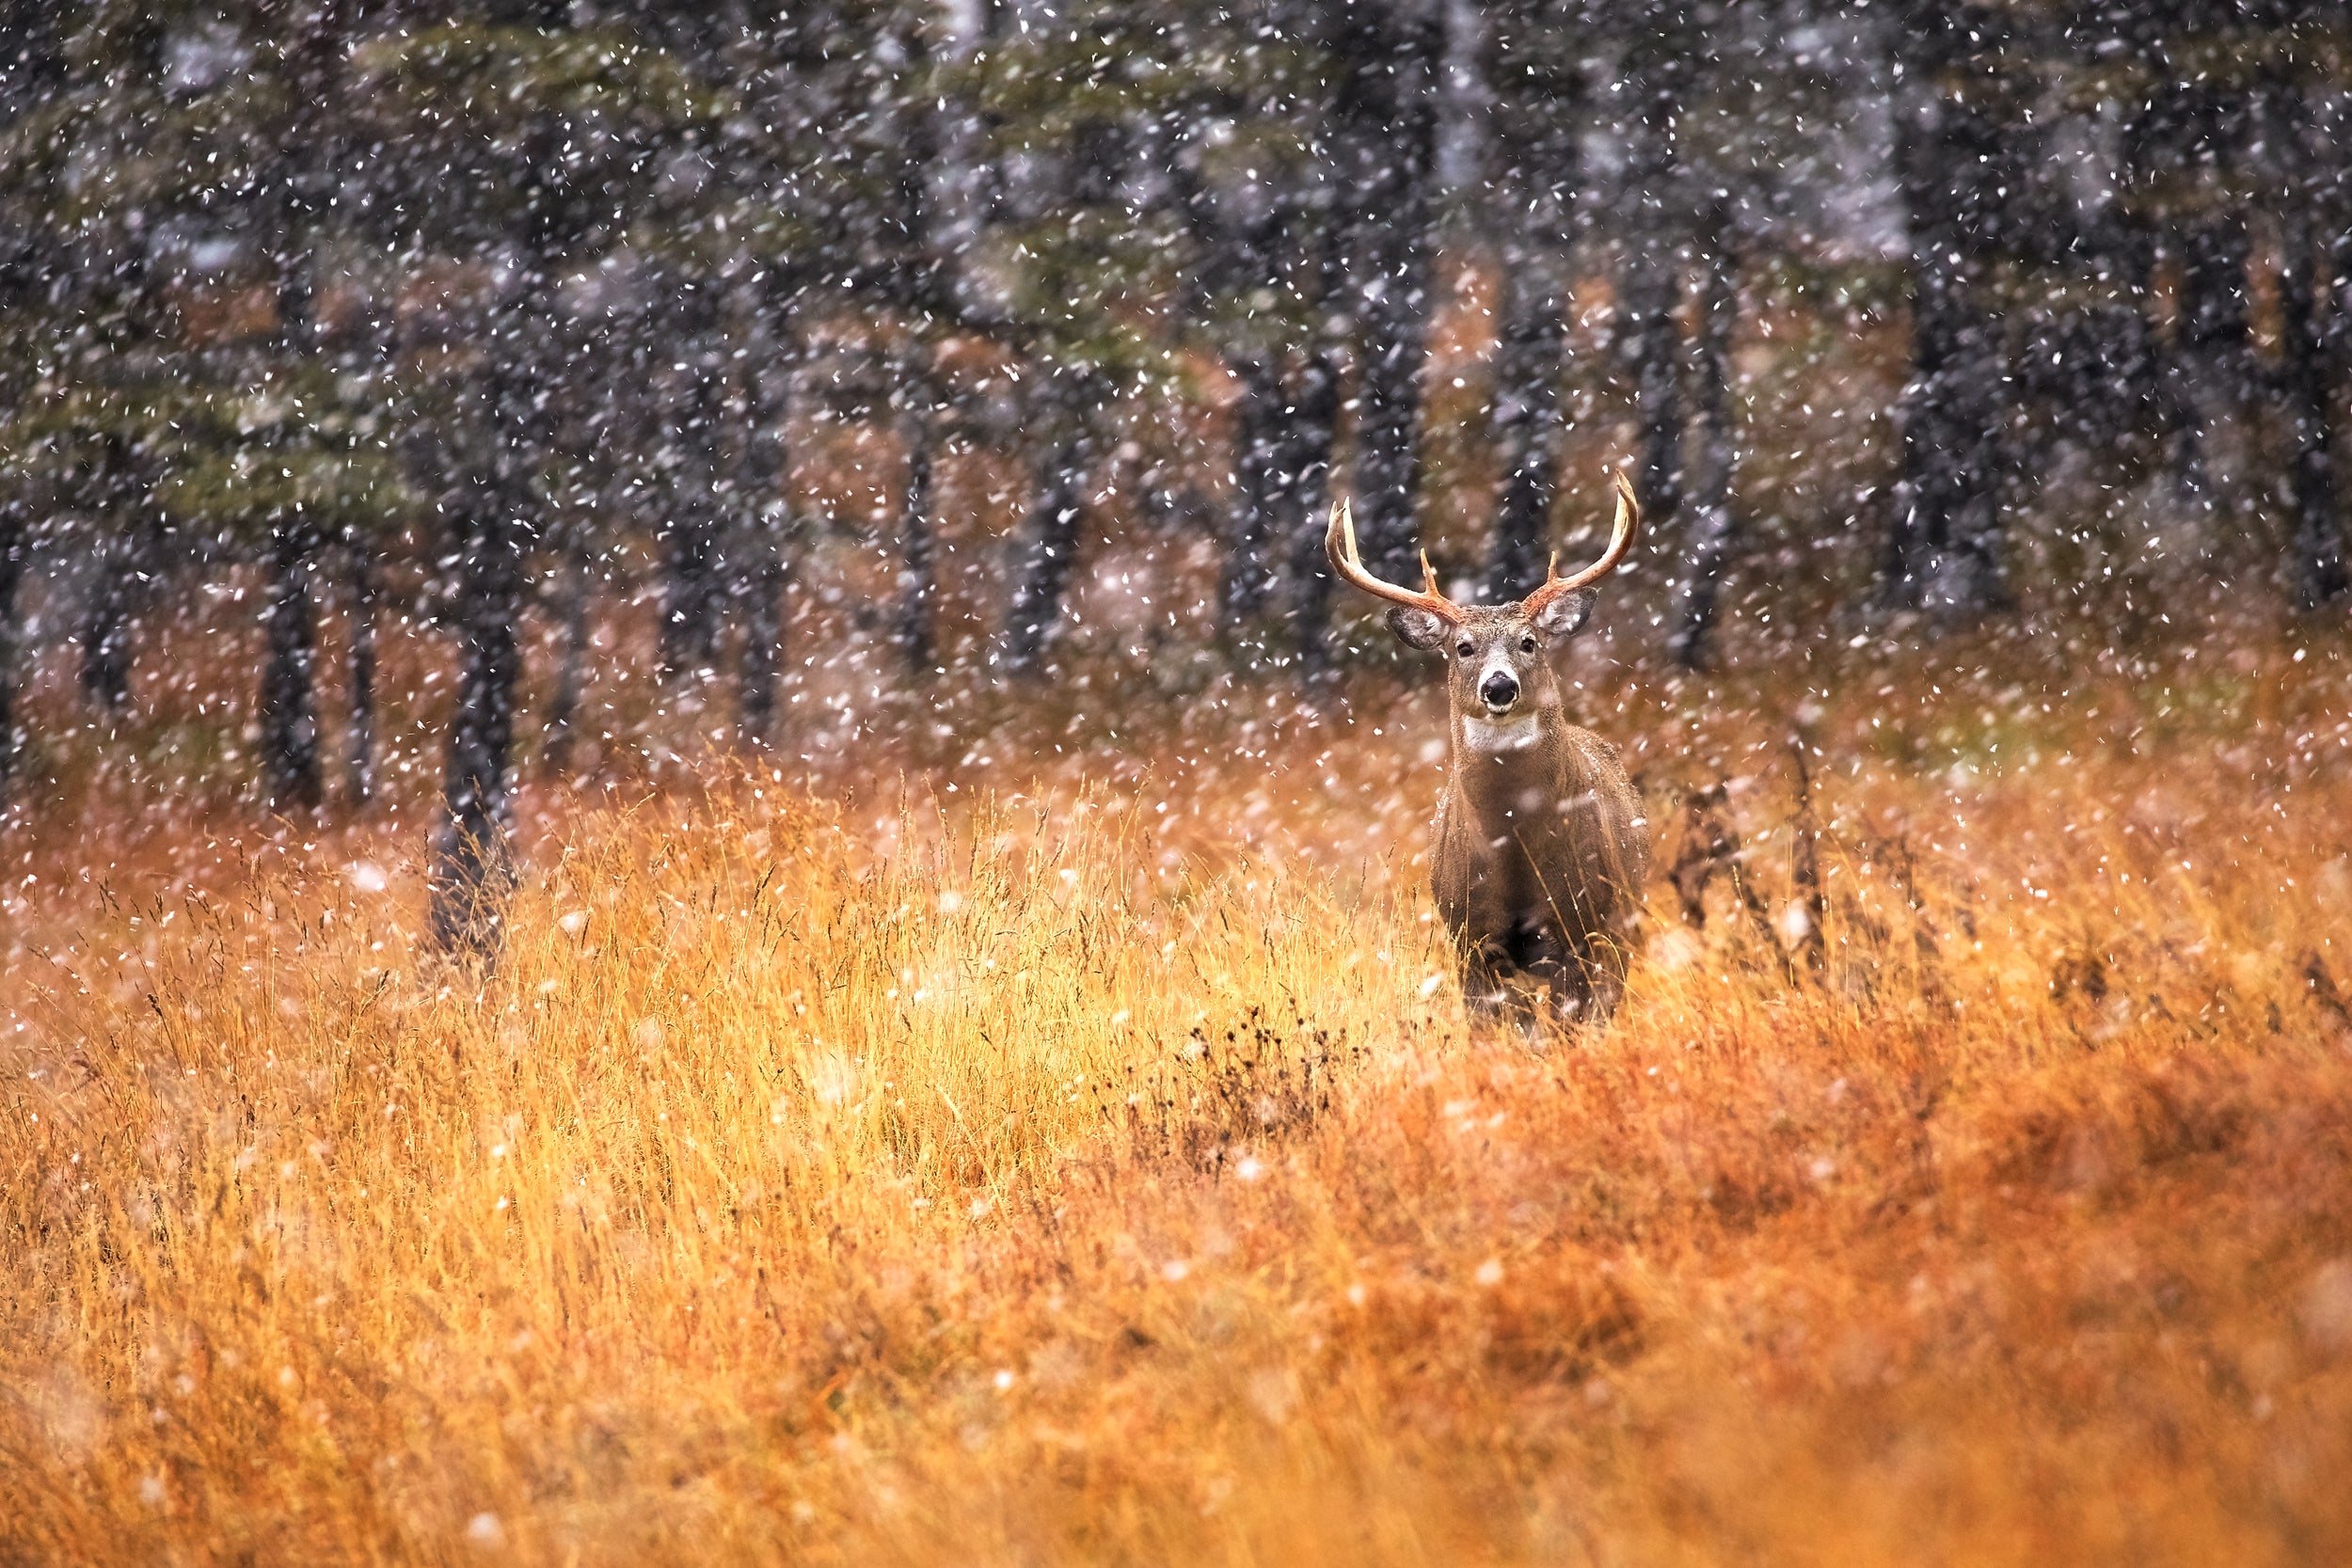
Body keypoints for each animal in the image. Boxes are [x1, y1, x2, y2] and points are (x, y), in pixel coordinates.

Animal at [1327, 471, 1650, 1027]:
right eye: (1463, 647)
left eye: (1529, 642)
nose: (1499, 687)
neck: (1515, 855)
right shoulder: (1470, 939)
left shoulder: (1579, 930)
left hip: (1622, 926)